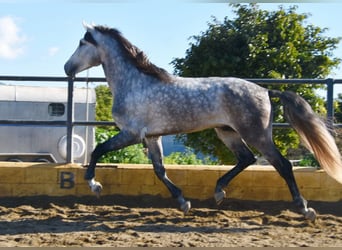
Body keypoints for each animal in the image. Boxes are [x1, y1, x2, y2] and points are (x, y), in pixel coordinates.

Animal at [64, 22, 342, 220]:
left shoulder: (131, 133)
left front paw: (94, 185)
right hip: (227, 132)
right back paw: (218, 192)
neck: (134, 83)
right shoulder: (152, 137)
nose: (67, 68)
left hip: (256, 134)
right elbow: (159, 170)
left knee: (282, 165)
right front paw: (183, 202)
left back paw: (305, 209)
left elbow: (98, 150)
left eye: (81, 42)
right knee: (247, 159)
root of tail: (265, 91)